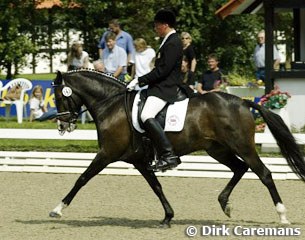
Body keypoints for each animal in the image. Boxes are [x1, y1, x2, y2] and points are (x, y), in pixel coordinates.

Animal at [50, 69, 304, 225]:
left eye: (59, 97)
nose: (62, 125)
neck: (112, 105)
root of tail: (242, 102)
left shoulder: (106, 154)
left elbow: (82, 178)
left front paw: (57, 209)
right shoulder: (139, 161)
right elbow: (156, 187)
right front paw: (168, 216)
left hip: (243, 146)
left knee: (264, 174)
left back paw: (282, 216)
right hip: (217, 149)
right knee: (239, 169)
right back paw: (225, 204)